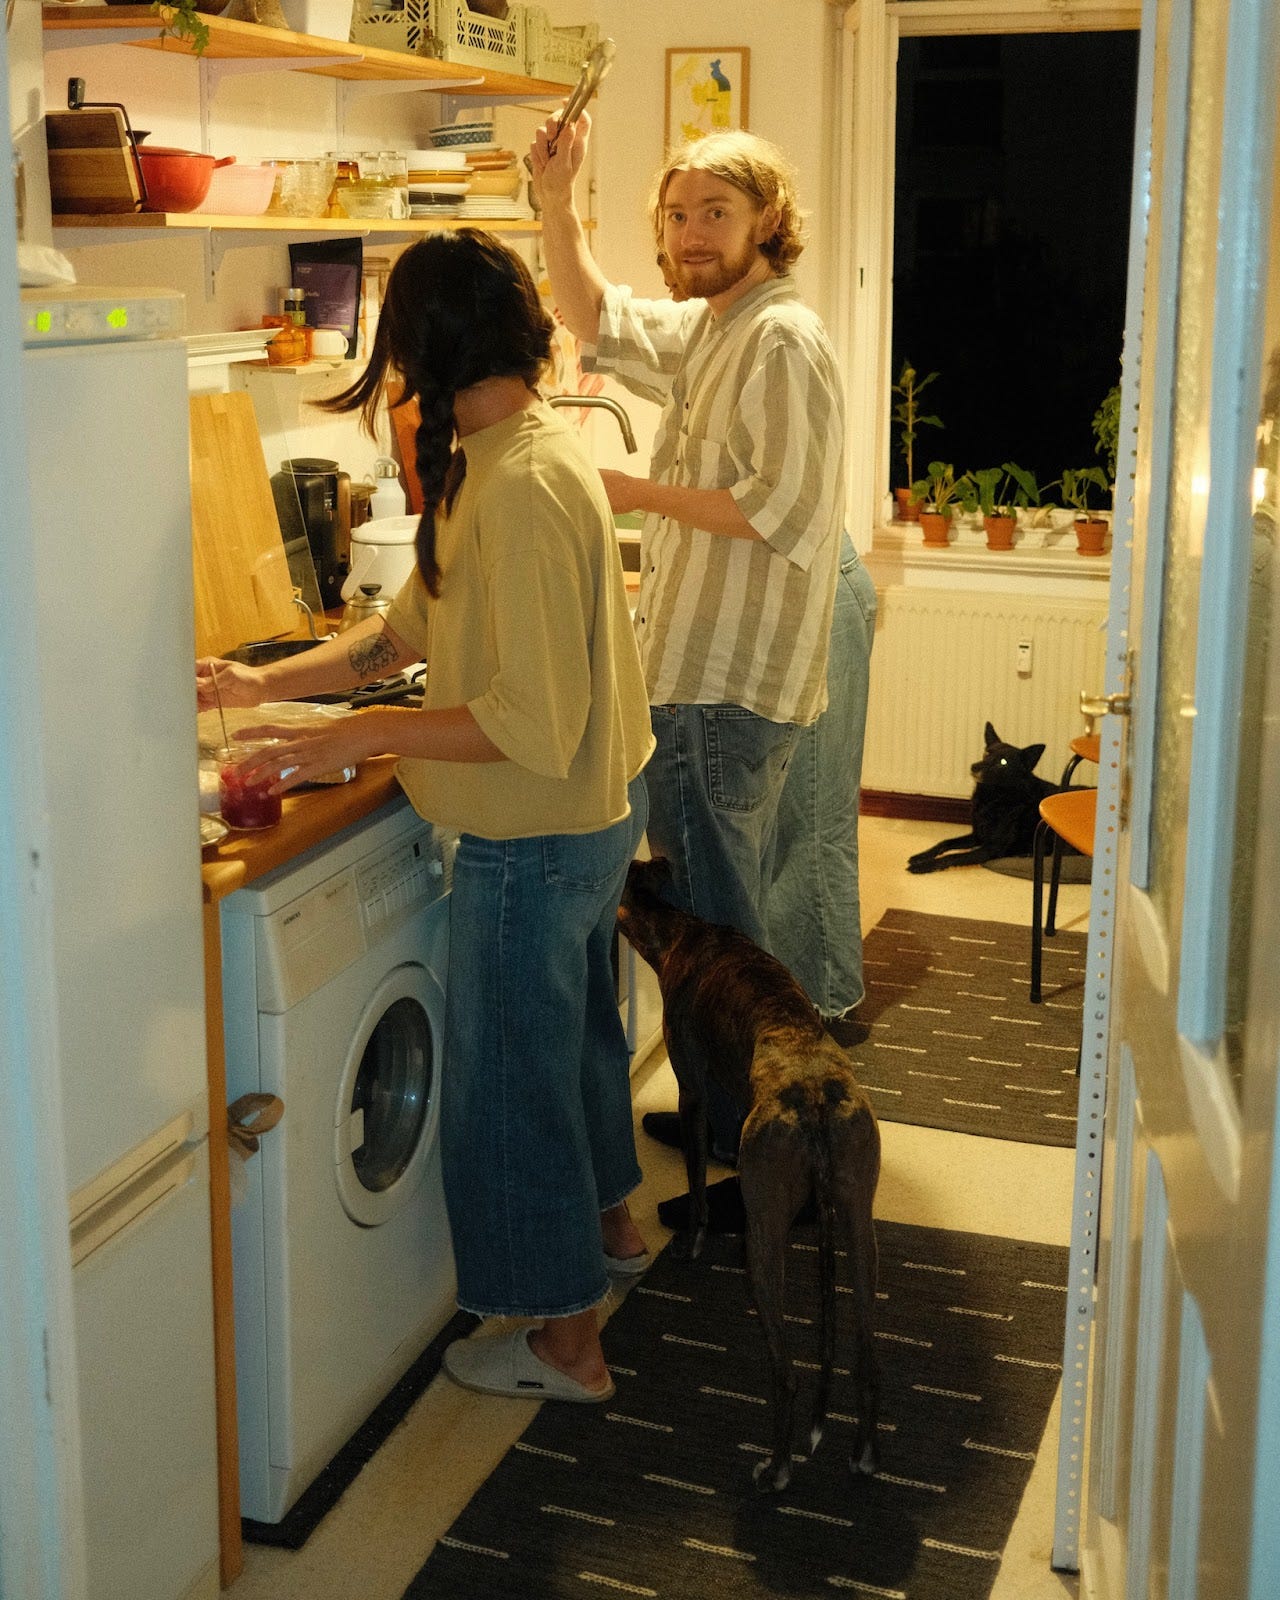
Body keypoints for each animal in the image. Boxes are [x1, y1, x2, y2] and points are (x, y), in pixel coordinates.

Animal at [617, 857, 883, 1491]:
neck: (684, 931)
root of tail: (814, 1105)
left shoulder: (692, 1090)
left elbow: (694, 1178)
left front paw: (691, 1240)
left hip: (763, 1234)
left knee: (786, 1376)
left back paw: (776, 1468)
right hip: (859, 1223)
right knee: (865, 1357)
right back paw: (863, 1455)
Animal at [902, 723, 1056, 876]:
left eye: (1003, 762)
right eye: (987, 753)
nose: (973, 767)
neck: (994, 798)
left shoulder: (992, 847)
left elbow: (954, 856)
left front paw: (924, 866)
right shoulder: (977, 836)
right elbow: (945, 842)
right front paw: (921, 856)